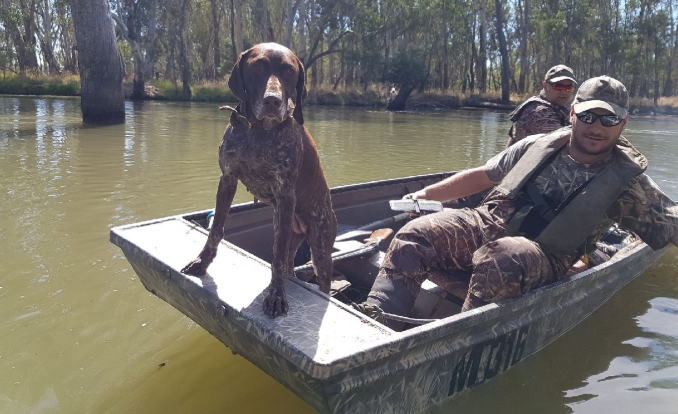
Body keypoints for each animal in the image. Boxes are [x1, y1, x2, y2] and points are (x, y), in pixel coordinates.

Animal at [182, 42, 338, 316]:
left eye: (289, 71)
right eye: (257, 67)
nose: (272, 101)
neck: (258, 132)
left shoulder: (285, 194)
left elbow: (275, 256)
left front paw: (276, 295)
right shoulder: (227, 179)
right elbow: (216, 230)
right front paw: (202, 262)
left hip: (320, 248)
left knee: (319, 279)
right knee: (288, 263)